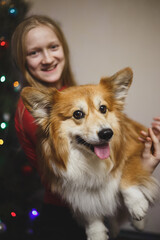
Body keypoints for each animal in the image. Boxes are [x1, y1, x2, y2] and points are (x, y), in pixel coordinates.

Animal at [21, 68, 159, 240]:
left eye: (103, 109)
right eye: (78, 114)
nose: (107, 133)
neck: (90, 160)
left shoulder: (138, 147)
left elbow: (127, 172)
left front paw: (136, 204)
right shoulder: (71, 185)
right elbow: (88, 208)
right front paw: (96, 232)